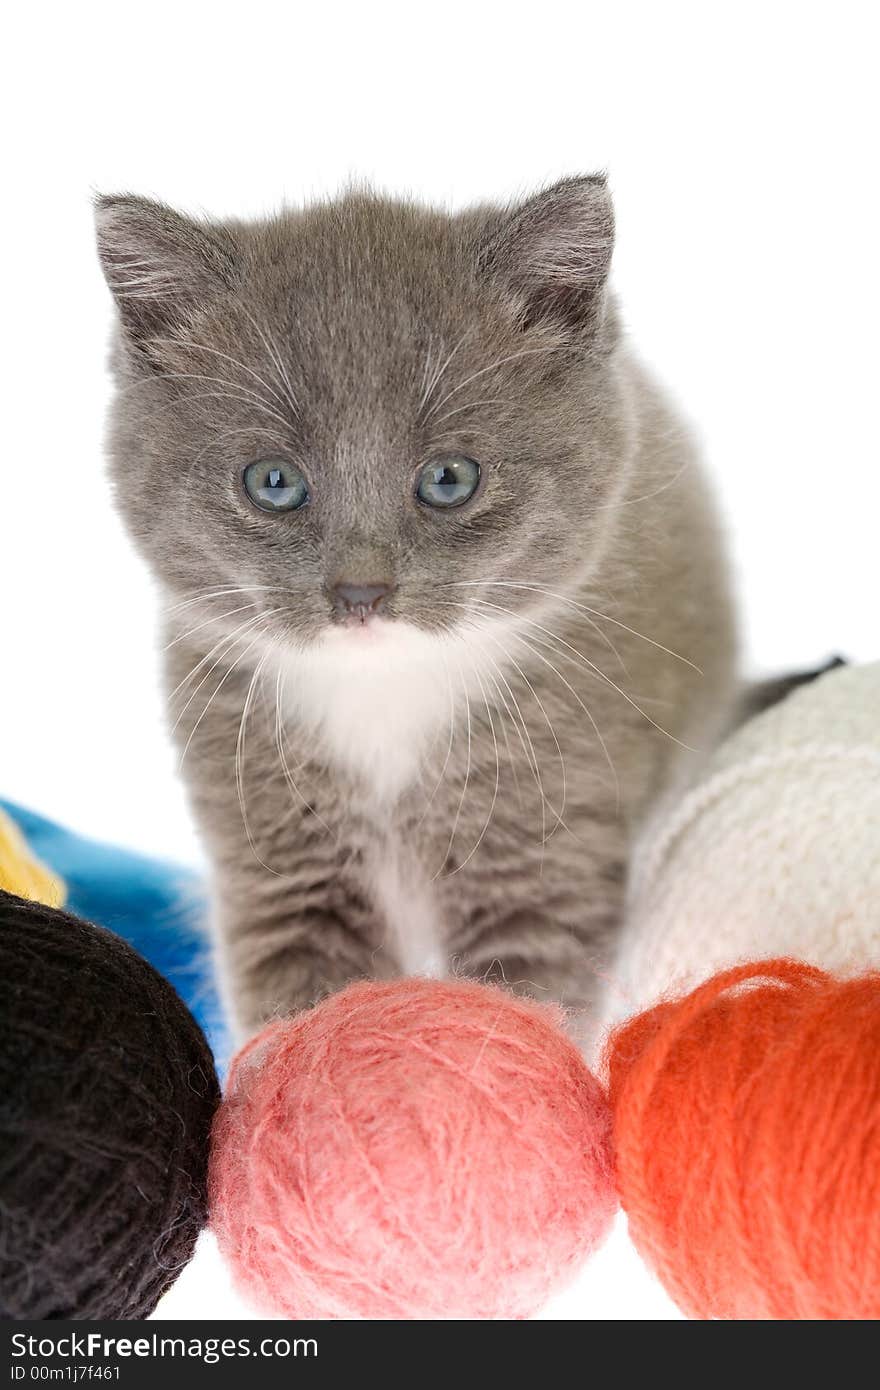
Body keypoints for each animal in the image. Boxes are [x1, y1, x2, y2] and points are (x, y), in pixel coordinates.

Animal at [94, 179, 734, 1039]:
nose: (360, 592)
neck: (385, 695)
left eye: (448, 479)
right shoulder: (277, 856)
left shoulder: (546, 843)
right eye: (273, 482)